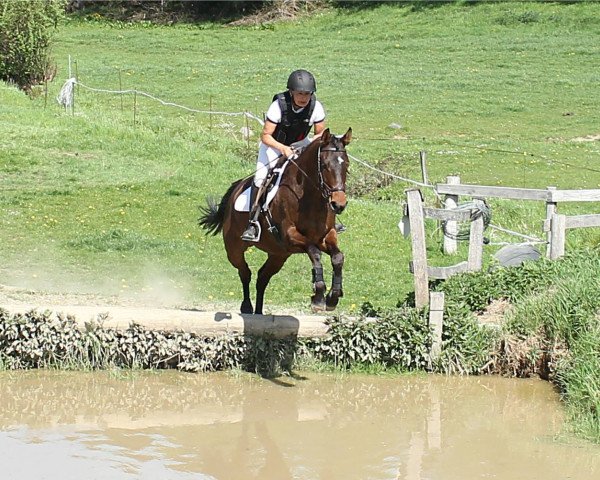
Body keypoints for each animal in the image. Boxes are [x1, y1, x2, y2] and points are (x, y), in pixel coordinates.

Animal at [199, 127, 352, 316]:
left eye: (346, 165)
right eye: (324, 166)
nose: (339, 204)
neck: (309, 197)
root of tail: (236, 188)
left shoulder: (326, 236)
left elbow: (338, 257)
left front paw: (333, 297)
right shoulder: (290, 236)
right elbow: (315, 253)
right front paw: (318, 297)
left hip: (278, 255)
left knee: (262, 277)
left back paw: (258, 313)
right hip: (234, 248)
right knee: (244, 271)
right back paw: (247, 307)